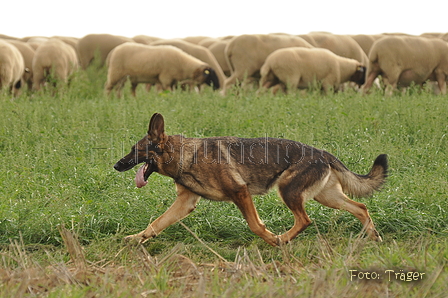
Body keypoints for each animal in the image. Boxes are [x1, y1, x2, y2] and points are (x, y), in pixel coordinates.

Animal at [114, 113, 386, 246]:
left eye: (135, 150)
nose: (116, 165)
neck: (186, 156)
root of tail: (322, 153)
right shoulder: (185, 203)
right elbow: (156, 224)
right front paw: (136, 239)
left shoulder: (240, 192)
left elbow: (255, 225)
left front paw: (270, 239)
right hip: (327, 197)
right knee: (361, 207)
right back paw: (374, 237)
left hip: (288, 191)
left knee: (305, 220)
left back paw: (282, 239)